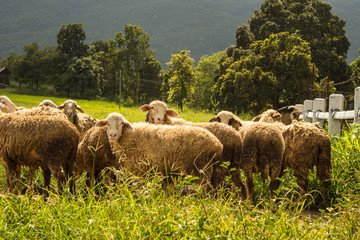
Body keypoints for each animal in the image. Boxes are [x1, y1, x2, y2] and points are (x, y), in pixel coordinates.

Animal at [94, 112, 222, 193]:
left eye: (121, 123)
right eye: (107, 123)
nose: (112, 135)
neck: (130, 136)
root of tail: (217, 143)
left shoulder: (141, 169)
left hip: (202, 168)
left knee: (206, 188)